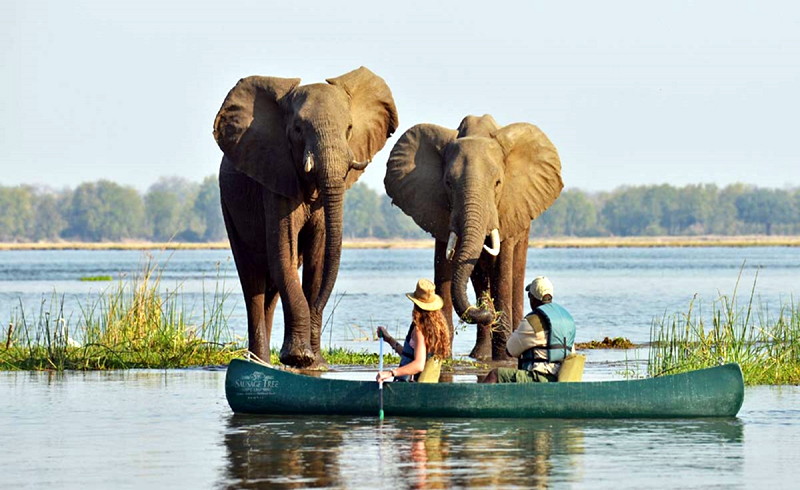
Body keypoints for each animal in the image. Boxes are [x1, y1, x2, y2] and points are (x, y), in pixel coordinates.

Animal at [214, 68, 398, 368]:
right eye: (298, 129)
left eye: (349, 128)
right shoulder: (275, 181)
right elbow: (284, 256)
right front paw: (299, 357)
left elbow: (317, 262)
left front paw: (315, 364)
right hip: (229, 207)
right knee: (253, 280)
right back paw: (259, 362)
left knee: (272, 287)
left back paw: (266, 362)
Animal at [382, 114, 560, 360]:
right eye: (448, 183)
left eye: (498, 183)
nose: (487, 312)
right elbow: (444, 267)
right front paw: (442, 355)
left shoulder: (507, 209)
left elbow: (503, 270)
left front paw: (505, 358)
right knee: (479, 276)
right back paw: (481, 355)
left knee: (515, 270)